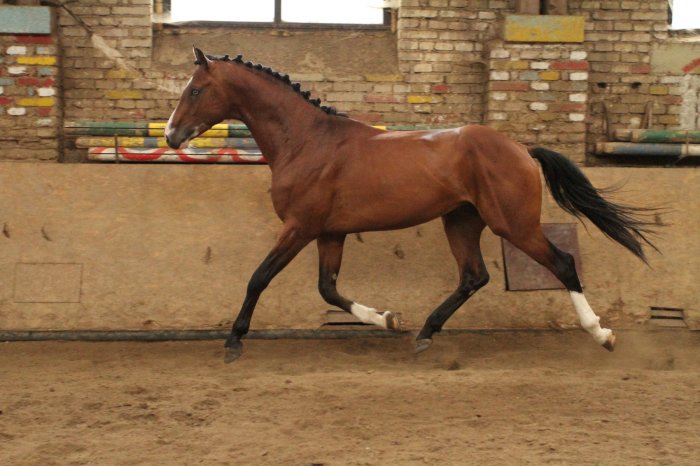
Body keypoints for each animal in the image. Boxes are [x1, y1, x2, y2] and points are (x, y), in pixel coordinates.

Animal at [166, 47, 657, 363]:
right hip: (461, 222)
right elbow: (328, 289)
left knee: (563, 264)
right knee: (473, 276)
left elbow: (259, 277)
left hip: (513, 225)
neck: (306, 142)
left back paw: (603, 335)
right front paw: (388, 319)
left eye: (196, 90)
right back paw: (423, 334)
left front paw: (233, 342)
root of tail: (520, 147)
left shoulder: (300, 227)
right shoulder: (329, 233)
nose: (171, 135)